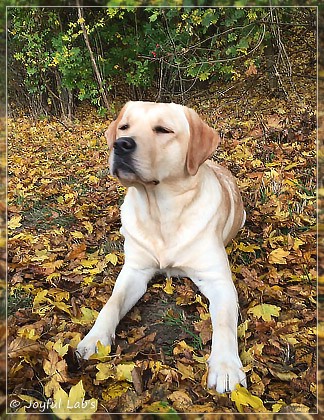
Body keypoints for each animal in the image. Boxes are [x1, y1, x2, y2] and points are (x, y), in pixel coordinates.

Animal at [77, 100, 247, 392]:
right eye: (124, 126)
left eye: (163, 130)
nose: (121, 144)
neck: (160, 212)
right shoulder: (134, 272)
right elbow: (112, 303)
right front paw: (94, 339)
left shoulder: (218, 280)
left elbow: (225, 323)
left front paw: (225, 366)